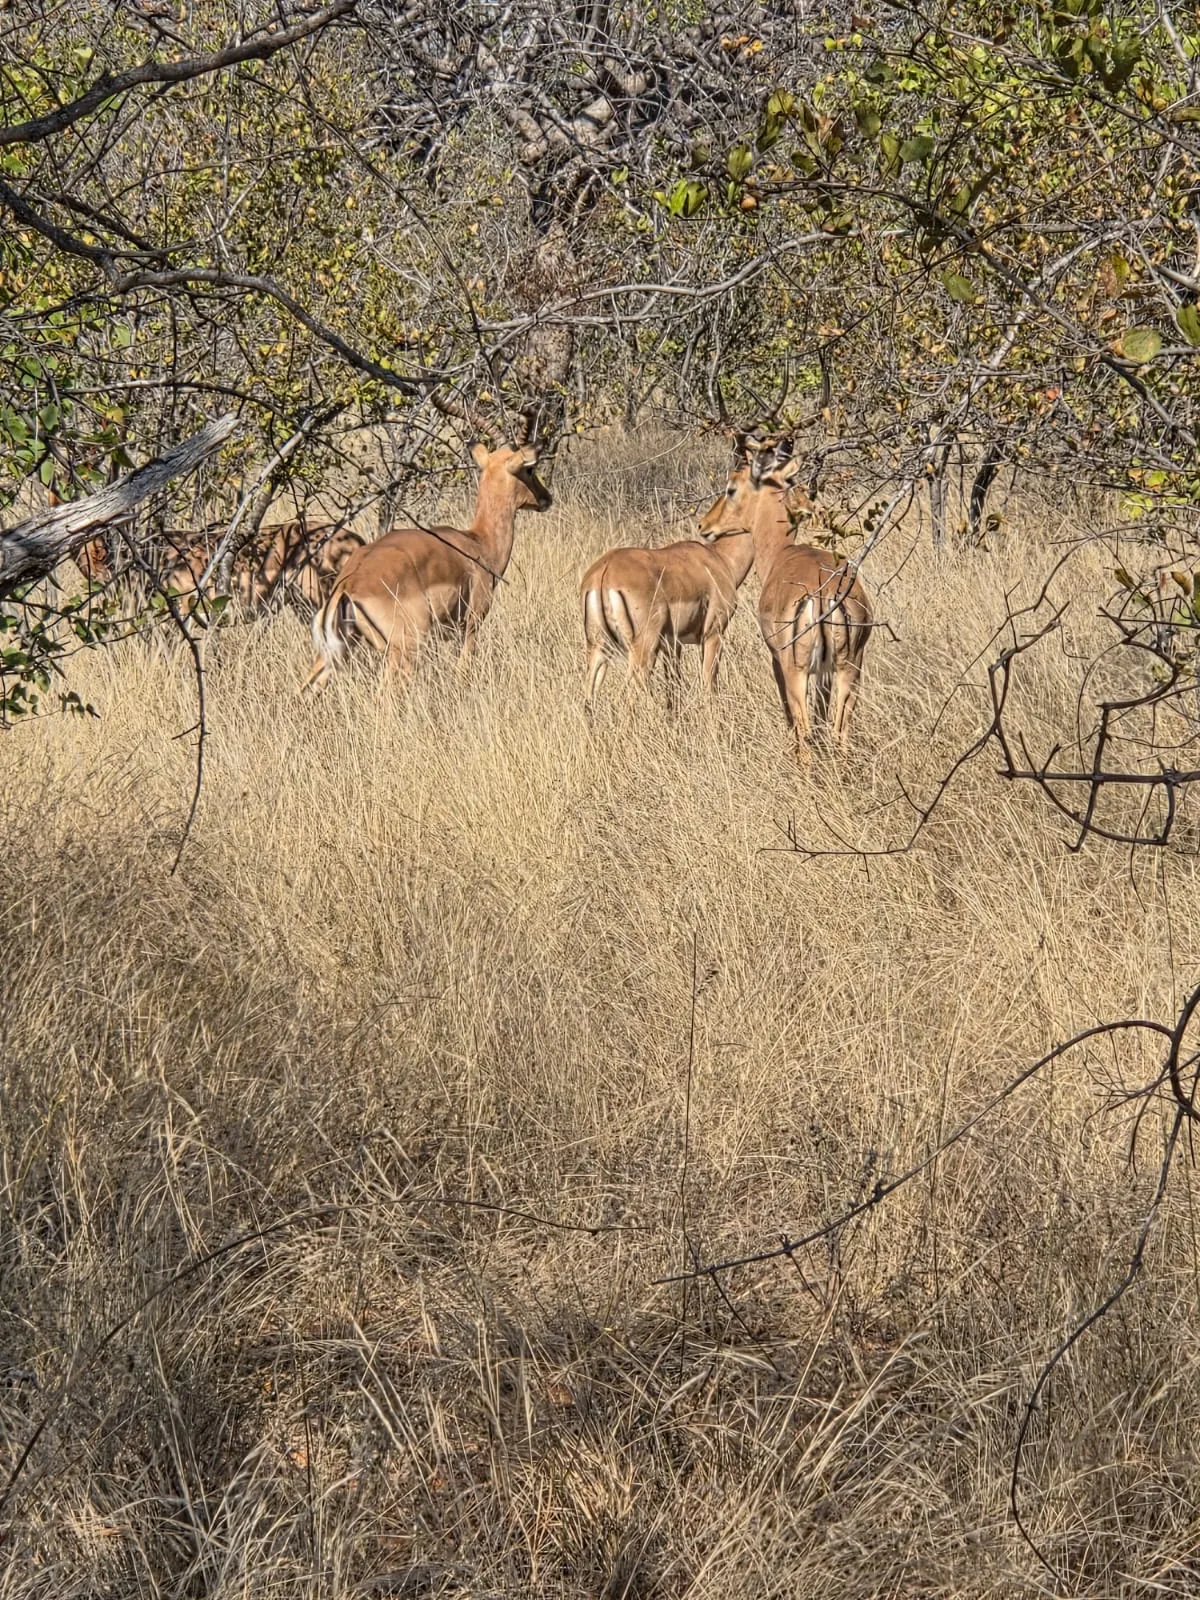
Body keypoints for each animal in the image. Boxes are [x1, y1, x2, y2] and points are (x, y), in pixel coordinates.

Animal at [300, 436, 551, 691]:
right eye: (529, 469)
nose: (546, 498)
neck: (479, 544)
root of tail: (347, 584)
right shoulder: (471, 624)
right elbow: (463, 672)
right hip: (405, 650)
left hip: (334, 654)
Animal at [579, 514, 756, 709]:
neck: (721, 559)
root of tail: (605, 571)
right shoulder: (713, 634)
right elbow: (709, 685)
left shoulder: (672, 644)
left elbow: (673, 691)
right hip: (643, 650)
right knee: (629, 697)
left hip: (599, 647)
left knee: (589, 697)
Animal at [698, 435, 872, 757]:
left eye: (732, 487)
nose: (705, 525)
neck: (782, 552)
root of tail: (823, 592)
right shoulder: (825, 673)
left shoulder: (777, 661)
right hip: (849, 670)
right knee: (839, 735)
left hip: (797, 671)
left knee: (805, 736)